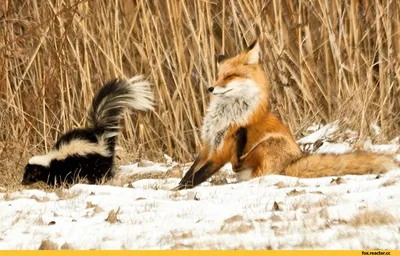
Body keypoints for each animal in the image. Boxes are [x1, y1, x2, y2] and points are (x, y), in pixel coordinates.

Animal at [21, 76, 155, 186]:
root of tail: (100, 136)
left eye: (30, 174)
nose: (23, 182)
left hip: (96, 161)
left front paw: (61, 185)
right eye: (25, 173)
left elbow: (63, 178)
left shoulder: (64, 166)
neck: (50, 160)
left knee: (100, 172)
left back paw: (99, 181)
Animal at [173, 40, 398, 190]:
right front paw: (178, 186)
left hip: (267, 144)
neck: (225, 115)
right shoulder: (208, 145)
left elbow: (197, 176)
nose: (210, 88)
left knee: (243, 167)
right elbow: (190, 172)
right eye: (218, 76)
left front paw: (178, 190)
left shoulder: (220, 150)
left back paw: (242, 138)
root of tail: (291, 164)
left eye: (230, 76)